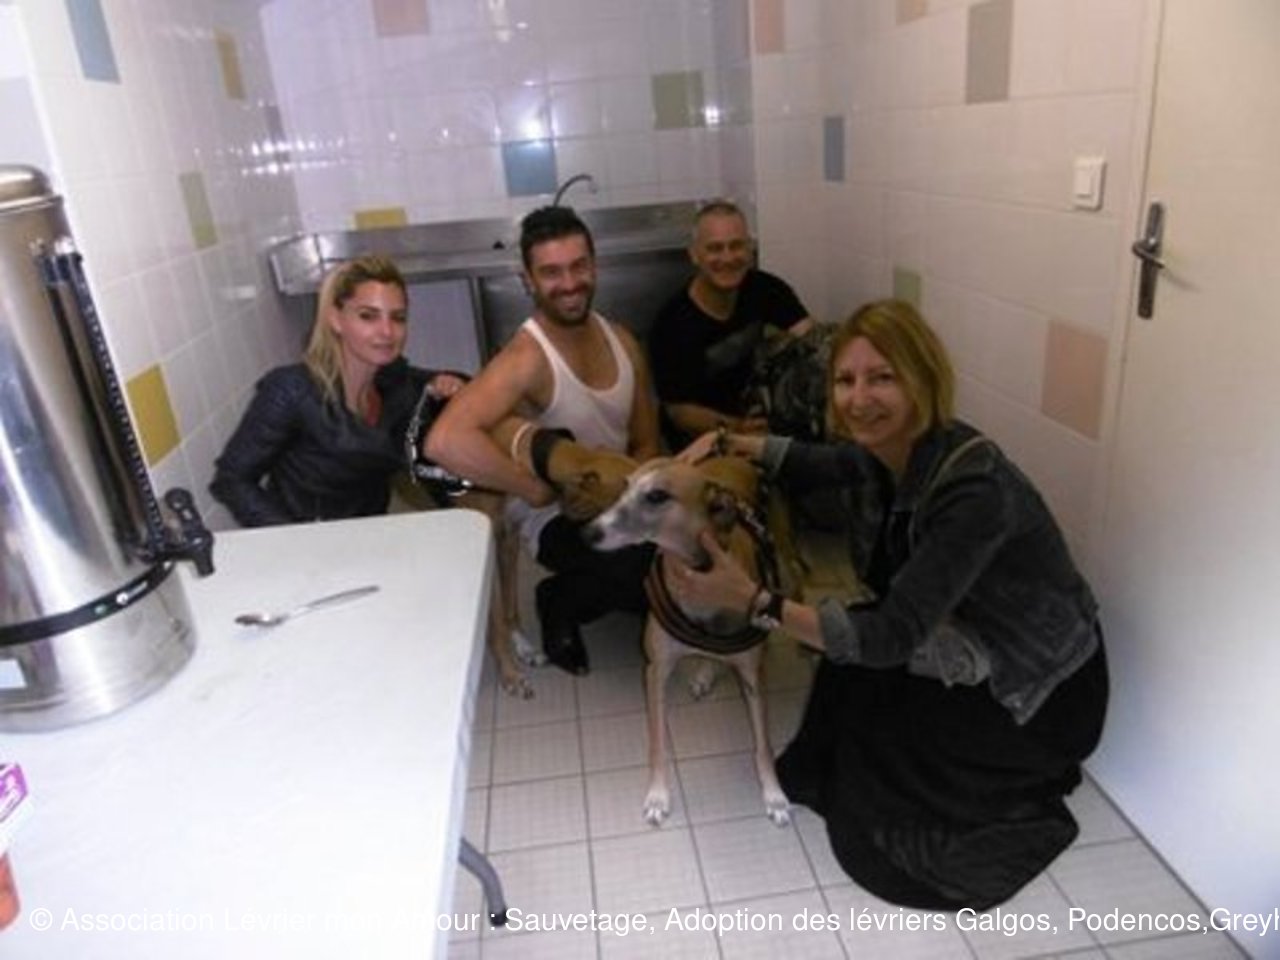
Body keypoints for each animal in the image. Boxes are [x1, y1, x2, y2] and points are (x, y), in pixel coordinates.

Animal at [584, 455, 791, 827]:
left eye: (657, 496)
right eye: (624, 485)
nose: (587, 534)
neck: (699, 579)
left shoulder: (754, 676)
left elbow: (763, 743)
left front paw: (774, 795)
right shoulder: (655, 671)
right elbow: (658, 742)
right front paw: (657, 795)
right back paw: (706, 672)